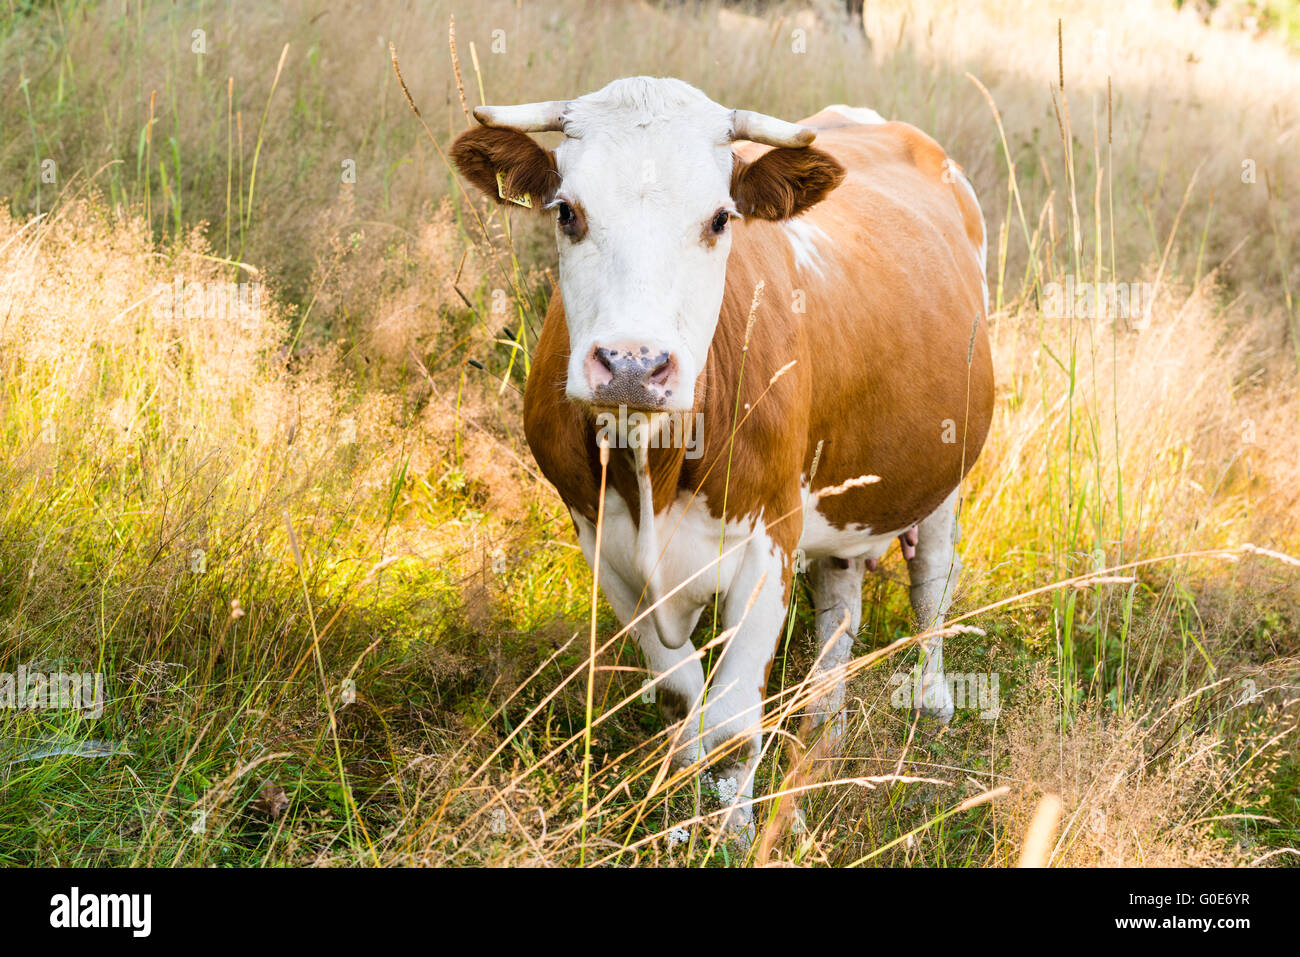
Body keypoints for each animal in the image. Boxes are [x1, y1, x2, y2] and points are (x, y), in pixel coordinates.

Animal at [451, 76, 993, 837]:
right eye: (567, 212)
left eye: (718, 219)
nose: (632, 364)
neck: (653, 459)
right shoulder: (601, 541)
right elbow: (683, 694)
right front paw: (685, 793)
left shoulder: (770, 538)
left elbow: (733, 724)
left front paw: (734, 828)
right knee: (840, 609)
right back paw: (824, 727)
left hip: (945, 473)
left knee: (933, 582)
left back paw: (933, 697)